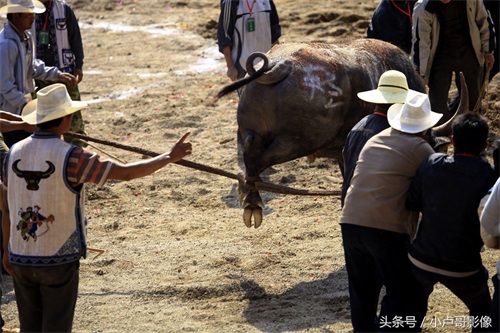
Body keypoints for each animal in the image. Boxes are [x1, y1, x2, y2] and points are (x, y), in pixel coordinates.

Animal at [217, 38, 466, 226]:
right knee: (256, 158)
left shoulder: (343, 152)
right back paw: (252, 200)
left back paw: (248, 195)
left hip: (251, 130)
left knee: (247, 153)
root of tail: (279, 66)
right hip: (299, 140)